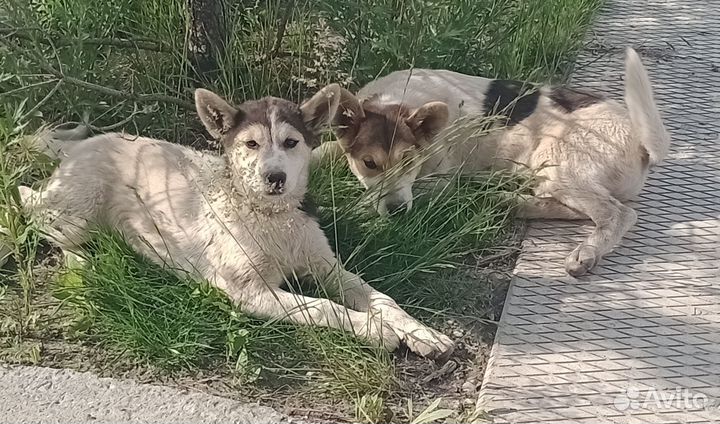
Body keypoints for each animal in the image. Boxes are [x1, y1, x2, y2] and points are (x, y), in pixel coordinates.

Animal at [19, 88, 452, 358]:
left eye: (291, 143)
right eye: (251, 144)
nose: (274, 177)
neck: (272, 220)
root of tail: (80, 145)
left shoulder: (329, 268)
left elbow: (382, 298)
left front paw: (421, 332)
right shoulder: (250, 292)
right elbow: (323, 308)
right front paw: (374, 330)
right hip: (76, 213)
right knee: (31, 209)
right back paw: (82, 263)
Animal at [304, 48, 668, 276]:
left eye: (409, 160)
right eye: (369, 163)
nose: (396, 213)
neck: (404, 99)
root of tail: (642, 143)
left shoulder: (438, 181)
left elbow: (367, 200)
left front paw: (345, 210)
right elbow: (319, 153)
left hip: (555, 160)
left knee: (618, 214)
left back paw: (586, 251)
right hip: (548, 174)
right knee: (572, 207)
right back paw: (504, 200)